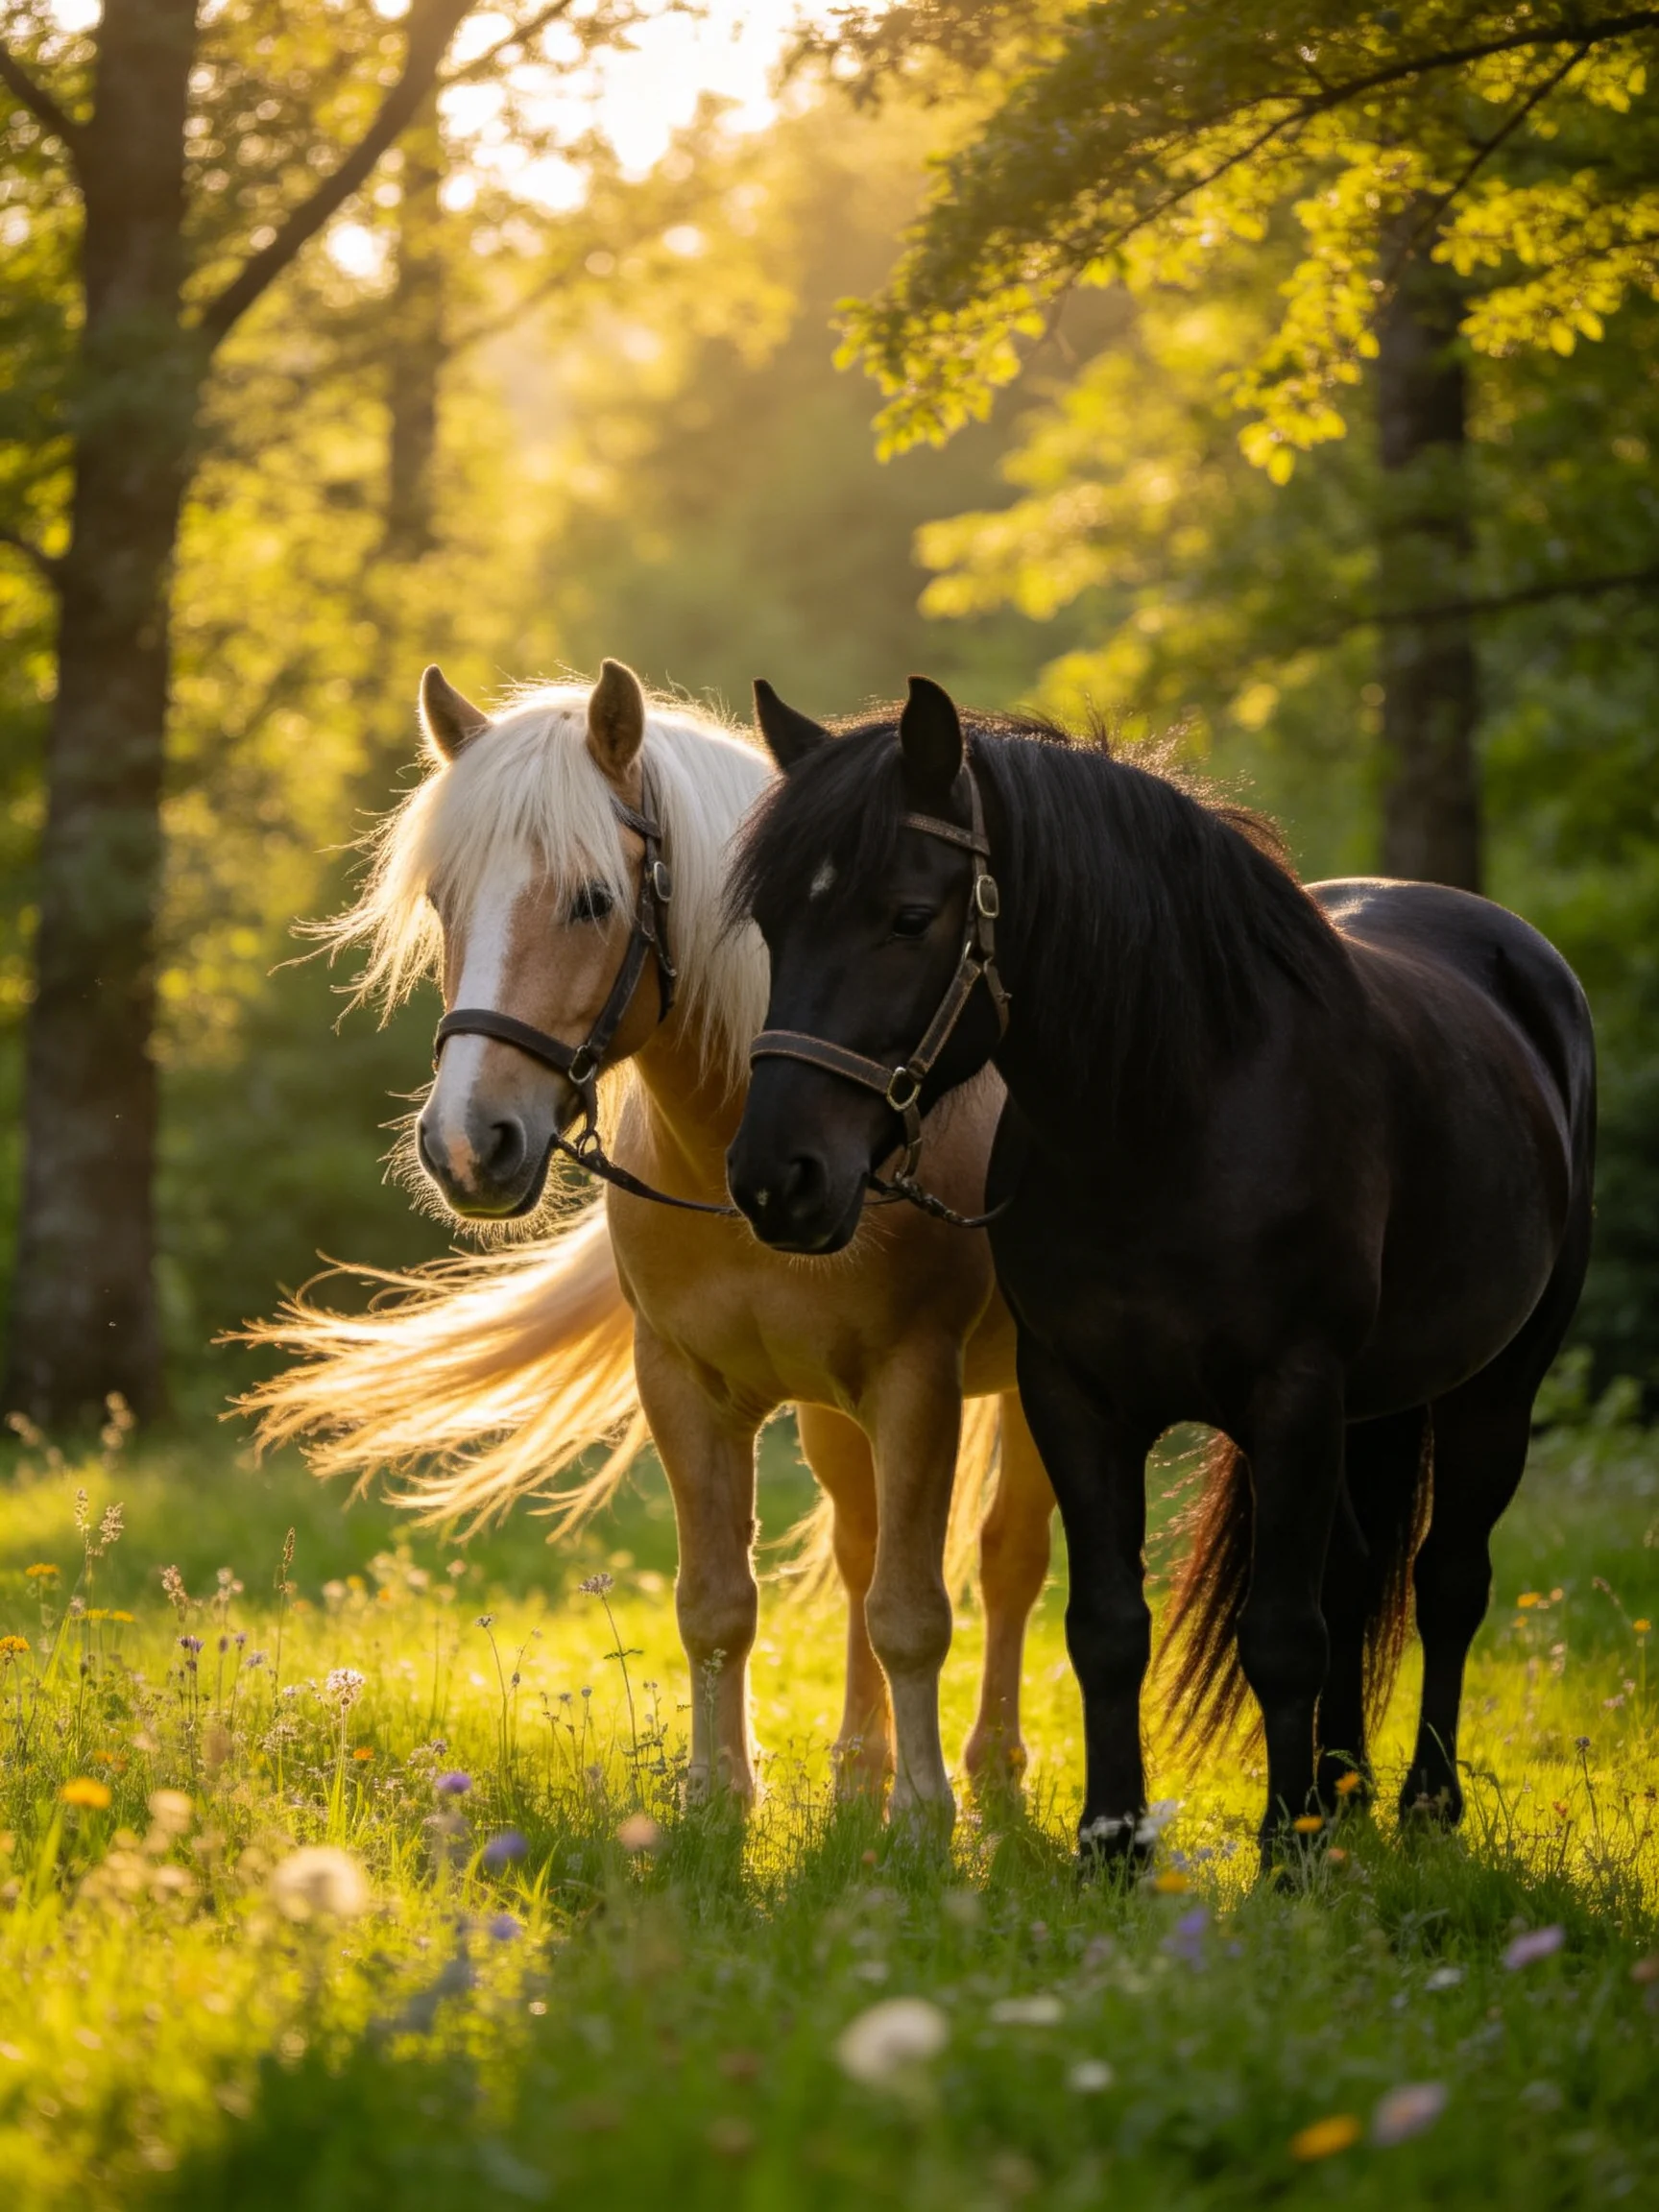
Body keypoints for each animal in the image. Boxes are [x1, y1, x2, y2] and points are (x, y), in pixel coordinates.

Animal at [243, 661, 1057, 1820]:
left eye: (593, 899)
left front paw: (923, 1820)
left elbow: (915, 1611)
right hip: (833, 1410)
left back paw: (990, 1769)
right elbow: (719, 1603)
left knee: (1005, 1559)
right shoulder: (684, 1382)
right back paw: (859, 1768)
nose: (467, 1144)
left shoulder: (918, 1384)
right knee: (859, 1549)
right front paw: (717, 1802)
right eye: (445, 904)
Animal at [726, 675, 1596, 1863]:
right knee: (1357, 1568)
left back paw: (1421, 1806)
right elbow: (1107, 1627)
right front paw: (1112, 1840)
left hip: (1496, 1387)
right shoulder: (1075, 1396)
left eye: (908, 916)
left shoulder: (1292, 1394)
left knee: (1447, 1582)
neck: (1172, 1115)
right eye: (774, 925)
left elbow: (1281, 1633)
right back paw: (1344, 1792)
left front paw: (1287, 1852)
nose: (776, 1178)